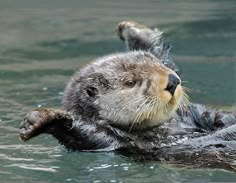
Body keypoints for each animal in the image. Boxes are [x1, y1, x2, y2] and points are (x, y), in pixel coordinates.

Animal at [18, 21, 236, 169]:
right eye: (130, 82)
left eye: (158, 64)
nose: (172, 81)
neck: (165, 126)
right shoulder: (116, 143)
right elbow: (86, 134)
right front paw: (43, 119)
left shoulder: (194, 113)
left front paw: (134, 32)